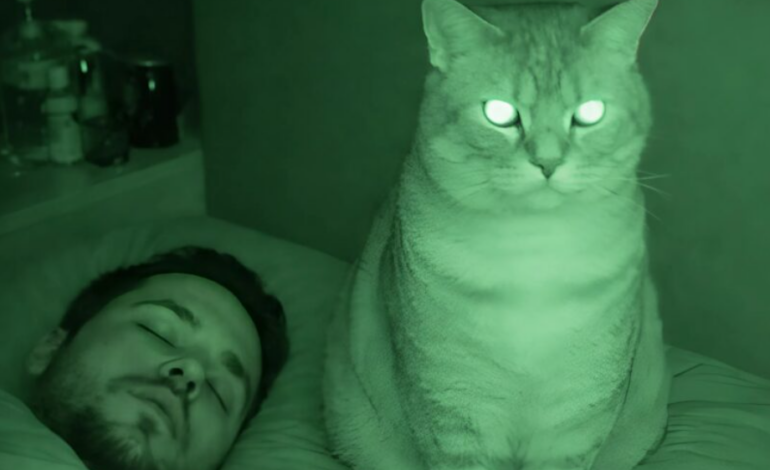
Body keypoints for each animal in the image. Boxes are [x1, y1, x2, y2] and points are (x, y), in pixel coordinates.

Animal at [322, 0, 671, 469]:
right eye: (500, 114)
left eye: (590, 113)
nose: (547, 163)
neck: (534, 259)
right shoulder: (454, 411)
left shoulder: (577, 418)